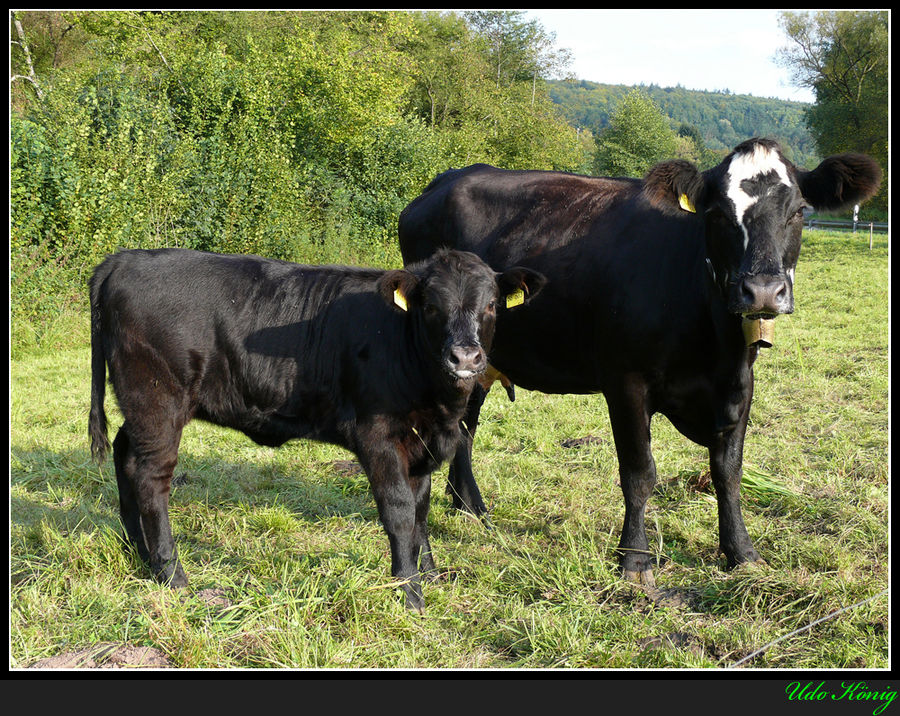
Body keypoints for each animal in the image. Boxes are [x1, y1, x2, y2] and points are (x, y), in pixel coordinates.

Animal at [88, 248, 540, 608]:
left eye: (492, 306)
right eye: (431, 306)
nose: (464, 357)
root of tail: (125, 258)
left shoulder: (421, 444)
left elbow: (421, 510)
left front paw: (428, 572)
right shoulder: (378, 436)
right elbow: (398, 511)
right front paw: (409, 591)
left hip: (139, 408)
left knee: (125, 455)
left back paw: (137, 550)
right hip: (158, 402)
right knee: (151, 479)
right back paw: (171, 573)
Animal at [400, 137, 880, 584]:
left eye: (798, 211)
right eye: (719, 215)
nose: (762, 291)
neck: (713, 344)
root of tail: (446, 180)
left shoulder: (740, 385)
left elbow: (728, 471)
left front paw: (741, 553)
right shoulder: (626, 382)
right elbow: (639, 472)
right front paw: (634, 558)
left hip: (478, 360)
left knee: (465, 428)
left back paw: (470, 507)